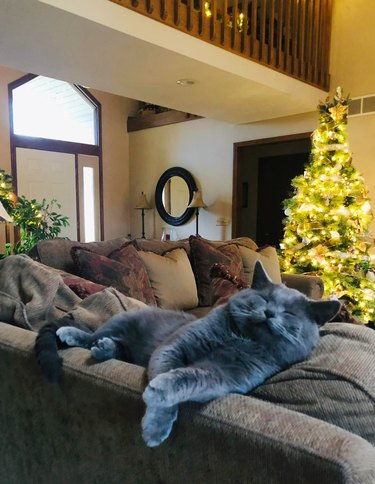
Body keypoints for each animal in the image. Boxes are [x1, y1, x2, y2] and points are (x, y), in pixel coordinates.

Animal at [36, 262, 340, 448]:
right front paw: (155, 425)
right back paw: (74, 334)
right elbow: (166, 375)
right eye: (264, 299)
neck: (240, 338)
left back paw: (105, 348)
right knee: (92, 335)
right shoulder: (174, 346)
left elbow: (191, 378)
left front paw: (162, 391)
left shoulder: (228, 375)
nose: (269, 313)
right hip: (120, 321)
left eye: (289, 313)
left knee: (117, 347)